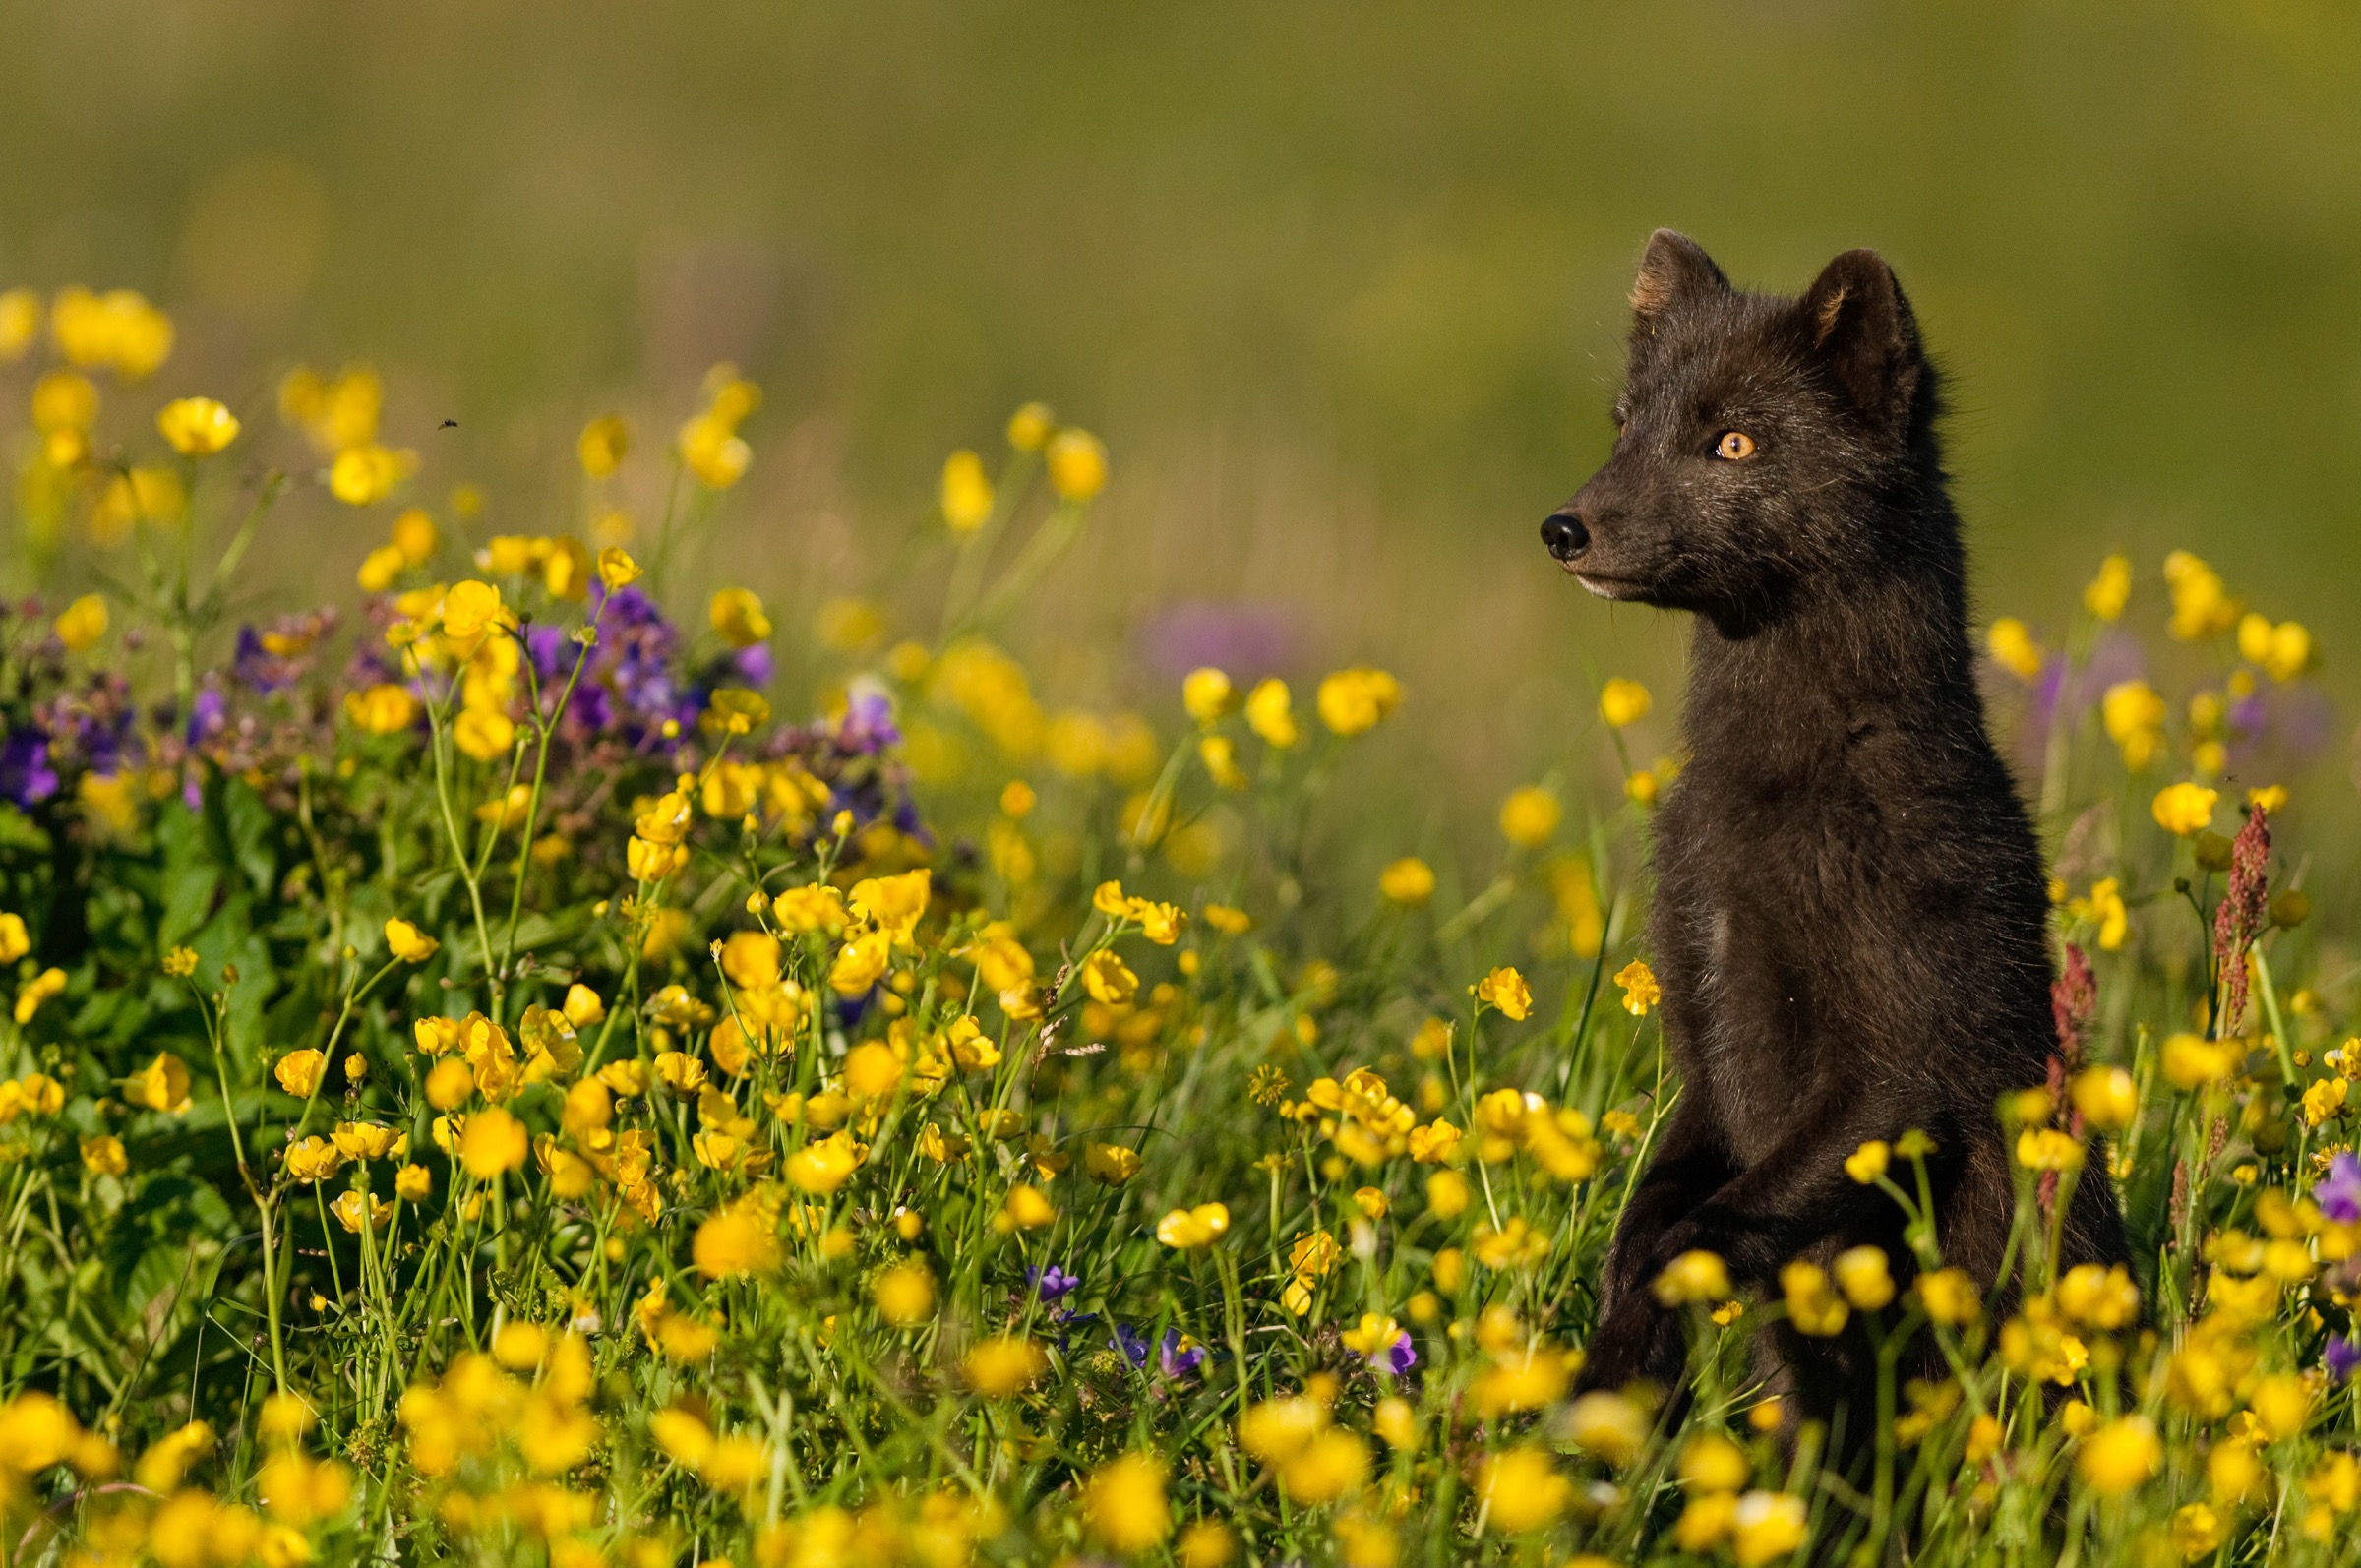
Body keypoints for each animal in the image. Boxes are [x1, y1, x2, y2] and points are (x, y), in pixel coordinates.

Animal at [1544, 232, 2126, 1440]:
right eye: (1623, 423)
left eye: (1734, 440)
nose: (1564, 526)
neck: (1762, 804)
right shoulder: (1701, 1026)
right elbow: (1655, 1205)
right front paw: (1619, 1350)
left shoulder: (1912, 1038)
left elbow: (1706, 1227)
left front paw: (1644, 1331)